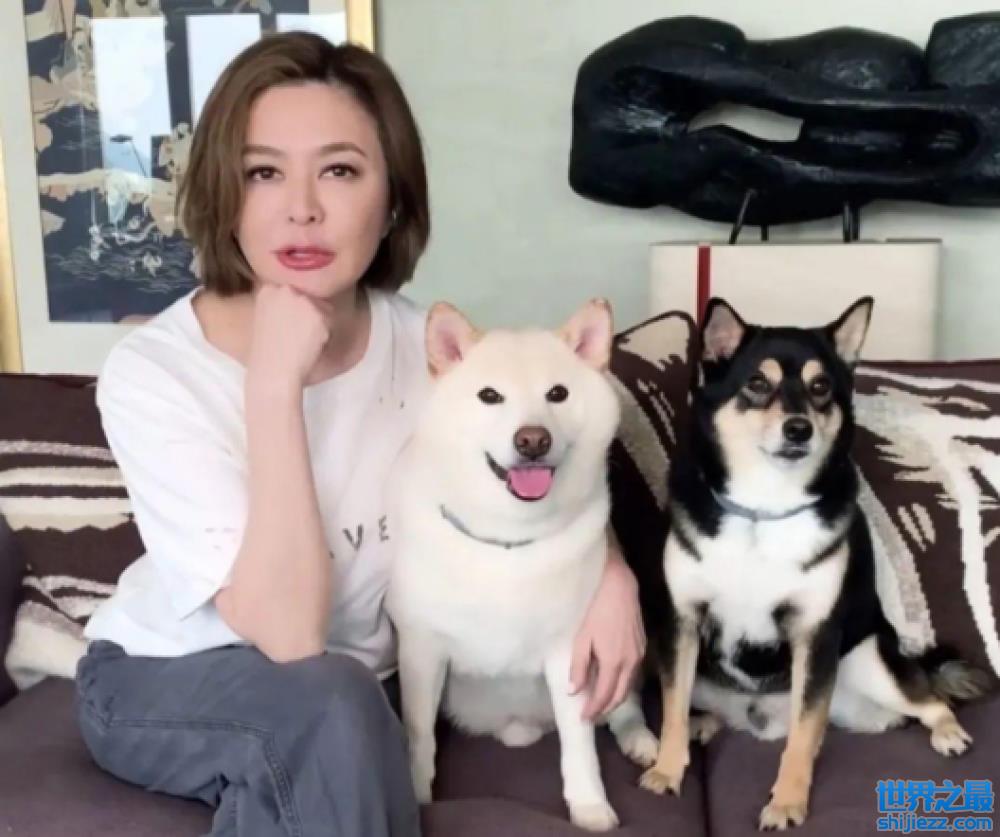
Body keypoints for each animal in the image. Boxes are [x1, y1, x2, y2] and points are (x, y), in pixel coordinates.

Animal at [386, 299, 658, 832]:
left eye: (558, 393)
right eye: (489, 396)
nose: (533, 439)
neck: (508, 540)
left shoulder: (571, 654)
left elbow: (579, 745)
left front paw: (589, 808)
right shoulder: (421, 649)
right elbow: (418, 734)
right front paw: (417, 796)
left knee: (623, 709)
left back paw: (640, 740)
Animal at [632, 297, 992, 830]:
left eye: (821, 388)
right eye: (757, 384)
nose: (798, 428)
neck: (763, 508)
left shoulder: (815, 633)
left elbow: (805, 736)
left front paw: (786, 802)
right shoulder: (681, 624)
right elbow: (673, 711)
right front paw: (667, 770)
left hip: (868, 662)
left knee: (928, 698)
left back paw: (948, 732)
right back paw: (705, 724)